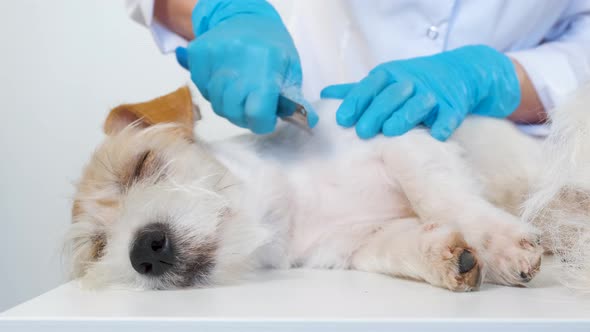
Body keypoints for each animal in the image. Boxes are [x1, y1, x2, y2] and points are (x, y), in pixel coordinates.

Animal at [66, 86, 590, 294]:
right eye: (99, 246)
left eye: (142, 165)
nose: (143, 251)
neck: (288, 206)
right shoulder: (358, 242)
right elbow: (402, 244)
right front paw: (449, 257)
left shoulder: (402, 143)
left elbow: (437, 194)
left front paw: (499, 244)